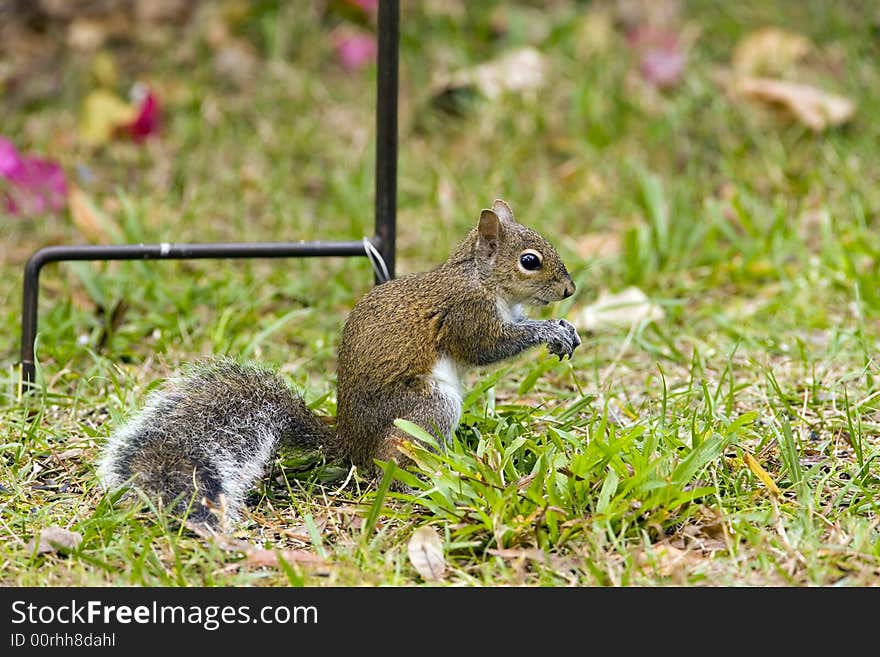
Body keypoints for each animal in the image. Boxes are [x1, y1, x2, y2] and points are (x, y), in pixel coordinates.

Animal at [96, 200, 580, 528]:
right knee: (388, 465)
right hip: (427, 407)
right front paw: (548, 331)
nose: (570, 290)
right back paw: (424, 482)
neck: (481, 278)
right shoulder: (468, 314)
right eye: (530, 261)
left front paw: (563, 326)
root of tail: (349, 442)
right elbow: (487, 348)